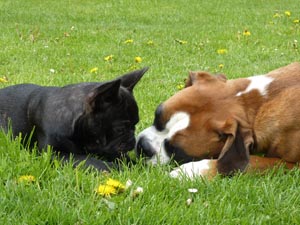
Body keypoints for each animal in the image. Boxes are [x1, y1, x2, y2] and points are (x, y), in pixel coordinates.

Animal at [0, 67, 148, 171]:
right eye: (120, 129)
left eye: (135, 125)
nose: (132, 140)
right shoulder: (54, 154)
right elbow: (90, 161)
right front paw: (116, 168)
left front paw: (138, 165)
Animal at [135, 62, 300, 178]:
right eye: (157, 116)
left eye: (176, 150)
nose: (144, 146)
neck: (260, 101)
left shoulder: (292, 165)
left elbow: (252, 163)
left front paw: (192, 170)